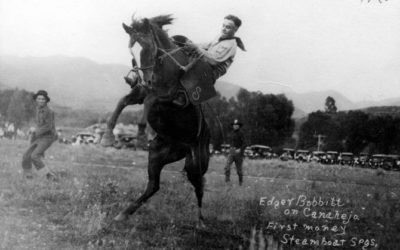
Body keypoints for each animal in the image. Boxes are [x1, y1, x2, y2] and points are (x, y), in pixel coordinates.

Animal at [113, 14, 209, 228]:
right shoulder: (142, 93)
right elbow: (124, 101)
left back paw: (201, 221)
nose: (142, 80)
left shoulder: (175, 98)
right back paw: (123, 213)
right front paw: (108, 134)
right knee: (153, 186)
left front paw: (141, 133)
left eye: (150, 48)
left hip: (196, 163)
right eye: (132, 50)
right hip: (156, 155)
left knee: (199, 186)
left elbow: (151, 101)